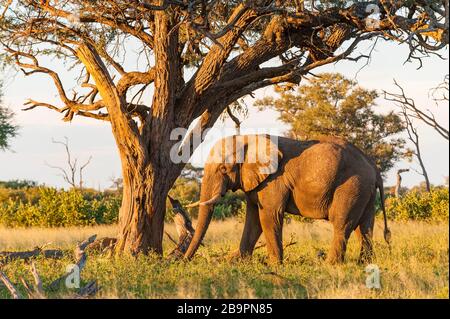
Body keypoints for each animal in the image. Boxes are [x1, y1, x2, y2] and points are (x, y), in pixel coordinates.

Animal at [183, 135, 390, 264]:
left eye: (223, 169)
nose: (183, 261)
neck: (249, 138)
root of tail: (373, 167)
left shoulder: (274, 180)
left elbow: (268, 216)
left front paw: (274, 265)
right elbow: (253, 219)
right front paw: (236, 261)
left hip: (352, 186)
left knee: (342, 224)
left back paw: (330, 264)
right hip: (364, 191)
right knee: (364, 227)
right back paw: (363, 263)